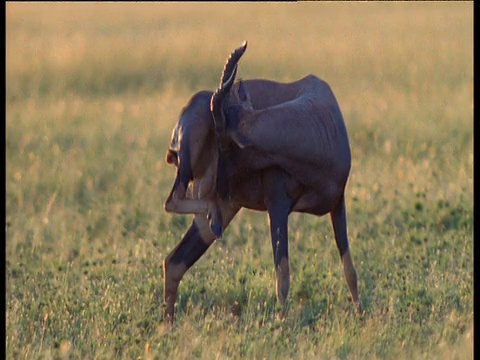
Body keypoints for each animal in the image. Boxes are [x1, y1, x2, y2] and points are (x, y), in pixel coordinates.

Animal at [161, 41, 360, 320]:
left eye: (224, 141)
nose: (214, 189)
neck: (318, 110)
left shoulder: (337, 204)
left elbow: (350, 271)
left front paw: (361, 314)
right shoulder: (277, 206)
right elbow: (283, 276)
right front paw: (282, 322)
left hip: (225, 207)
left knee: (174, 262)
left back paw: (168, 323)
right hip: (198, 180)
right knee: (173, 202)